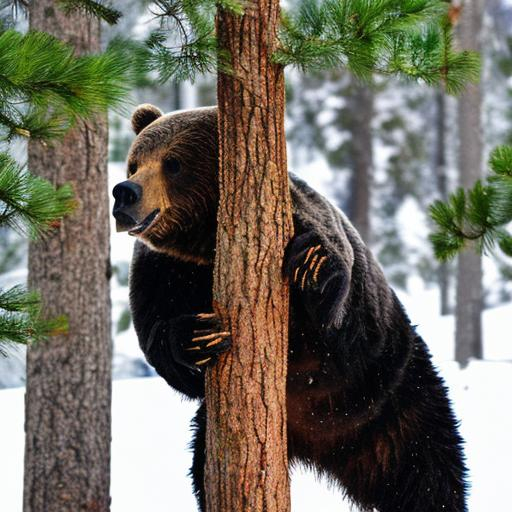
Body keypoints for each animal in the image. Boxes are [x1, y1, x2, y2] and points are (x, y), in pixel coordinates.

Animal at [112, 105, 468, 512]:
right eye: (134, 163)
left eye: (172, 164)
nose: (124, 192)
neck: (206, 246)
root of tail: (322, 445)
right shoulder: (164, 272)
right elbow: (161, 341)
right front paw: (199, 336)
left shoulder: (300, 225)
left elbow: (338, 311)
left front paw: (312, 267)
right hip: (217, 434)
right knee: (204, 472)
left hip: (396, 399)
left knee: (428, 472)